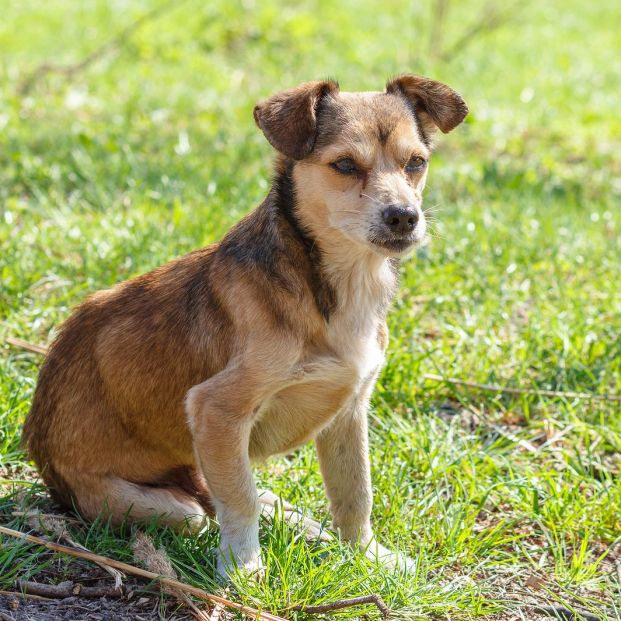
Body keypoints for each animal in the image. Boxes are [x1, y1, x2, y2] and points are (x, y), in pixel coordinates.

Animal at [24, 76, 468, 576]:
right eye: (345, 165)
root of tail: (38, 446)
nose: (405, 217)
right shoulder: (215, 410)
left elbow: (355, 494)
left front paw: (368, 555)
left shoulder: (349, 411)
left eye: (416, 163)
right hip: (156, 502)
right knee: (205, 510)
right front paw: (242, 568)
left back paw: (298, 522)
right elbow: (240, 499)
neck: (340, 286)